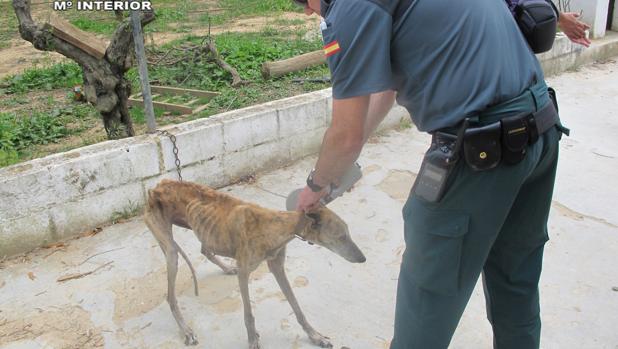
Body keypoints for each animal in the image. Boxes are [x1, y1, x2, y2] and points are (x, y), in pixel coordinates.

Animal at [143, 179, 366, 348]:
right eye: (341, 237)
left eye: (348, 233)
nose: (363, 259)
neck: (273, 226)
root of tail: (155, 188)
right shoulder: (245, 272)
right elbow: (249, 314)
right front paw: (252, 340)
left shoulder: (277, 267)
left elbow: (297, 307)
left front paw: (315, 336)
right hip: (171, 252)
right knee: (171, 296)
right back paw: (186, 330)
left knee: (205, 250)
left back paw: (226, 268)